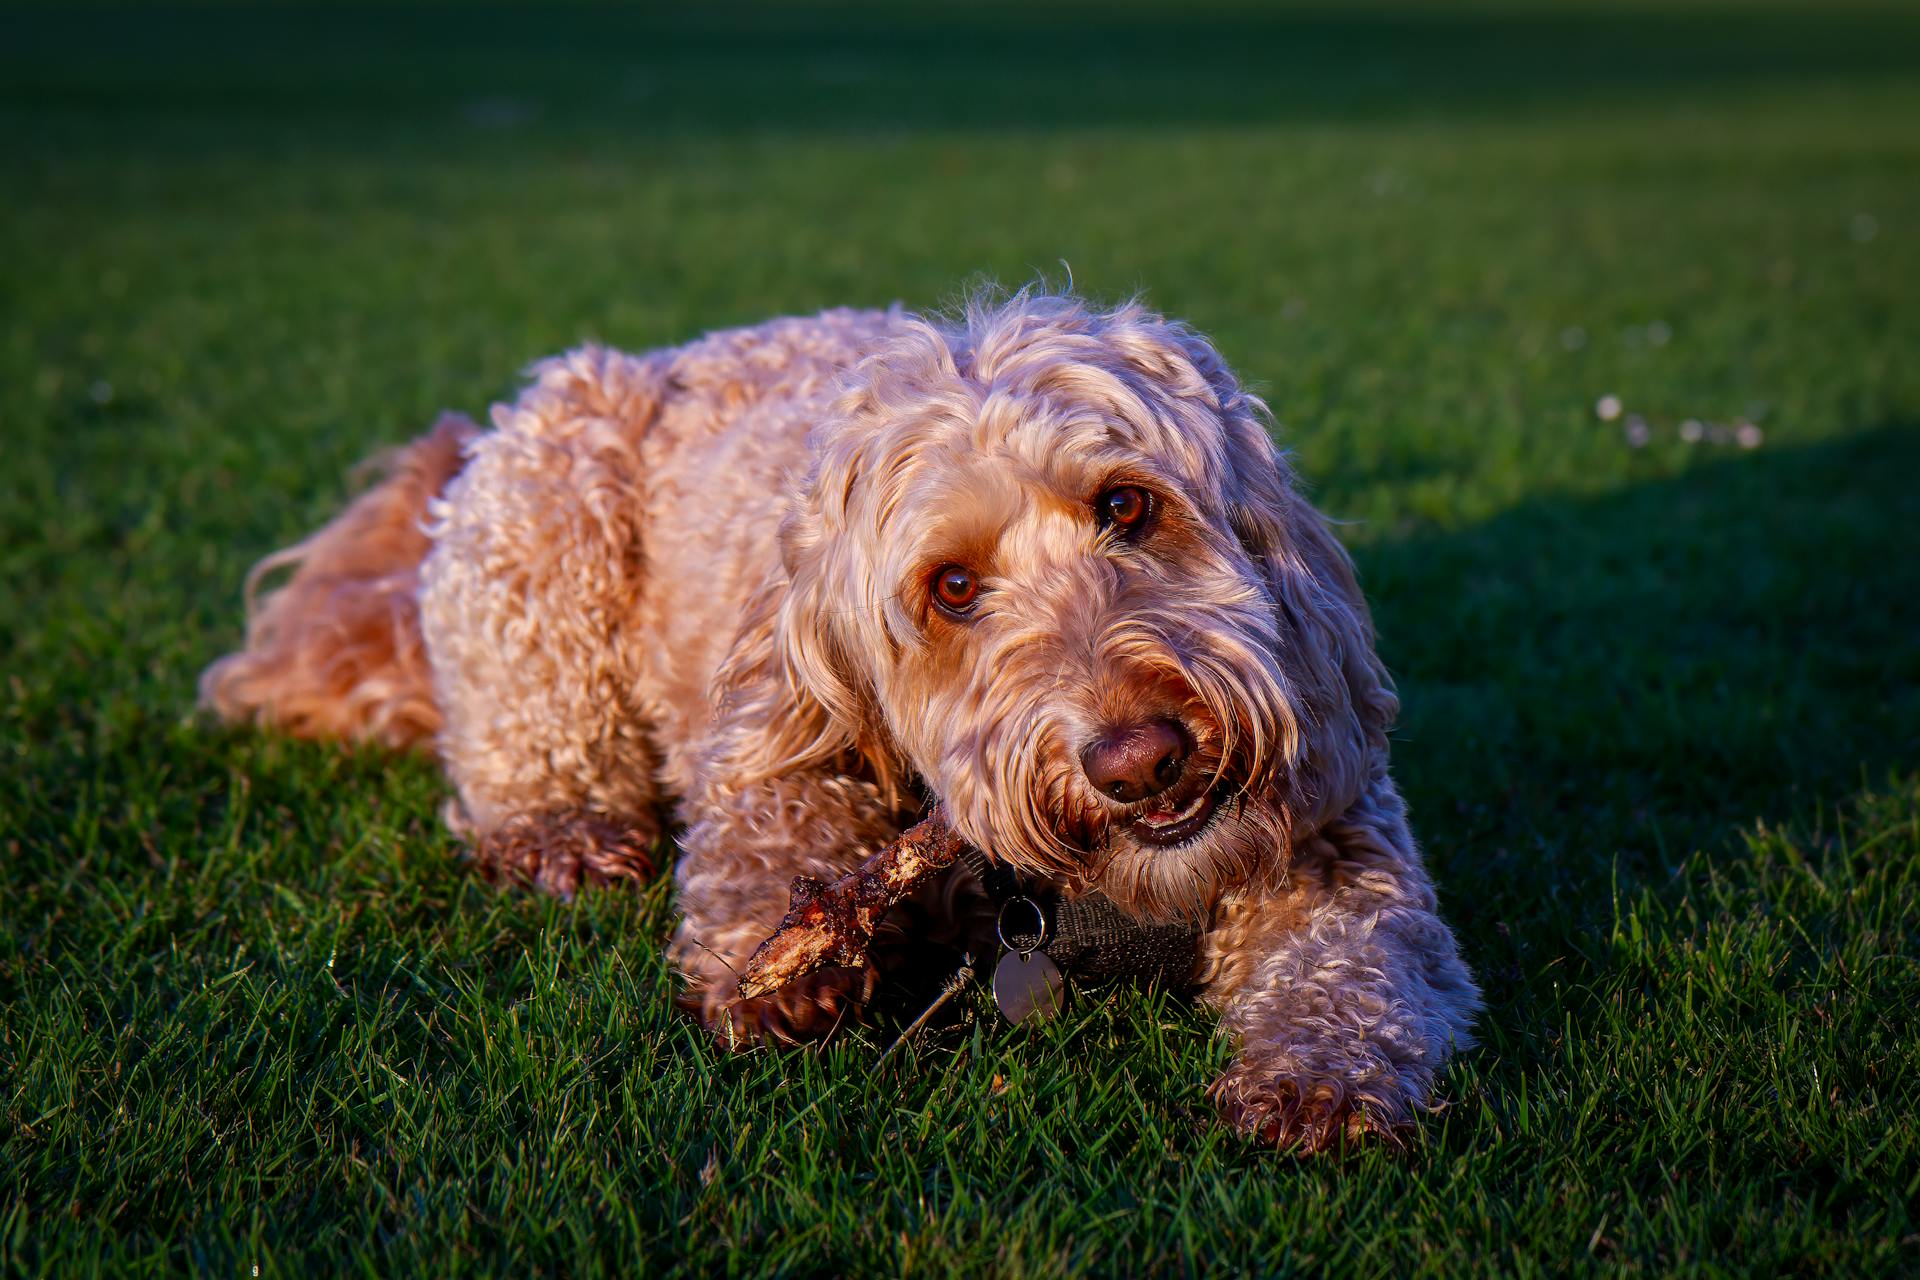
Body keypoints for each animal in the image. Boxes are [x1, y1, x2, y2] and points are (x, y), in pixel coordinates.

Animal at [198, 289, 1482, 1151]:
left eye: (1129, 504)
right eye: (952, 586)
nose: (1139, 756)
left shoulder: (1338, 821)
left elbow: (1361, 943)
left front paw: (1323, 1067)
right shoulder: (769, 724)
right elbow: (765, 830)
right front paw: (781, 954)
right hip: (546, 495)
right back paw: (558, 826)